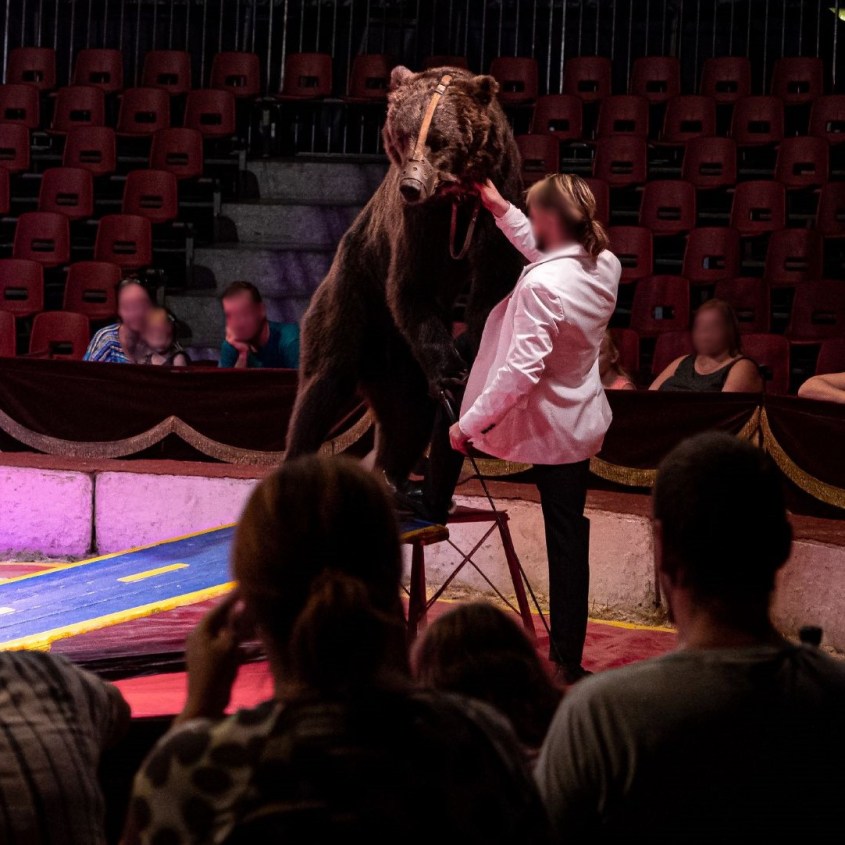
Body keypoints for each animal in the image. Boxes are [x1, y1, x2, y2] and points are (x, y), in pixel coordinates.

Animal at [285, 65, 525, 489]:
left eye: (438, 139)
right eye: (404, 133)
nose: (411, 184)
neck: (455, 197)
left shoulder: (496, 198)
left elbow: (492, 286)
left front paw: (475, 361)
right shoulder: (415, 224)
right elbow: (411, 285)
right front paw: (451, 373)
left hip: (400, 363)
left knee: (409, 417)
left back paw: (392, 475)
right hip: (354, 293)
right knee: (324, 382)